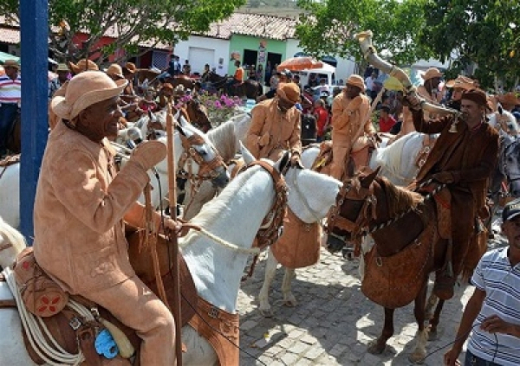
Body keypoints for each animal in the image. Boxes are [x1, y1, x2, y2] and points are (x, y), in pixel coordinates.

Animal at [324, 169, 488, 364]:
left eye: (355, 204)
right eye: (337, 198)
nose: (331, 242)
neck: (403, 227)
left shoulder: (421, 277)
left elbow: (417, 312)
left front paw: (419, 348)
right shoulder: (391, 275)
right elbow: (388, 306)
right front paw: (382, 341)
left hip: (458, 255)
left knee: (444, 291)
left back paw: (433, 325)